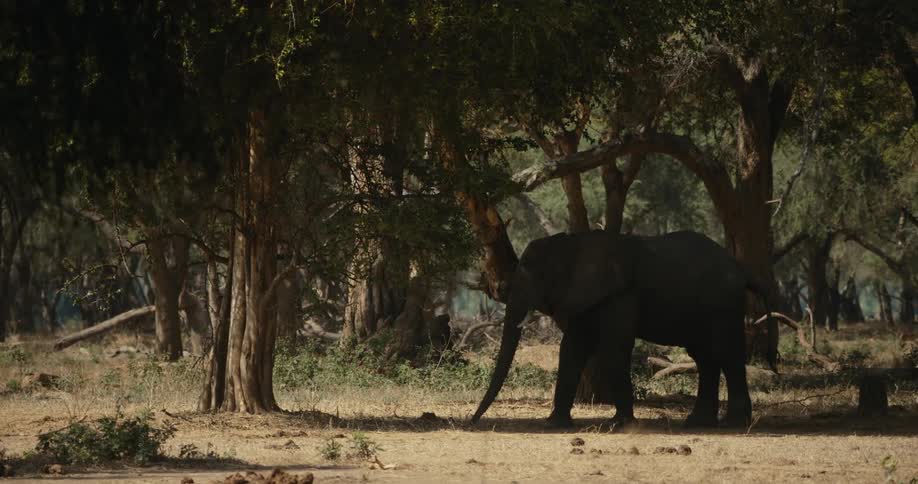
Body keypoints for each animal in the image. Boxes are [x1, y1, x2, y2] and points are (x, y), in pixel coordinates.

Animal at [470, 230, 773, 429]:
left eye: (536, 275)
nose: (473, 421)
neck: (575, 243)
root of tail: (740, 267)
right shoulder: (584, 294)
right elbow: (572, 348)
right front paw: (554, 424)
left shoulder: (621, 294)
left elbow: (613, 347)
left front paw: (618, 424)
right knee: (705, 356)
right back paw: (698, 423)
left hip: (724, 303)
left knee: (727, 352)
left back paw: (734, 424)